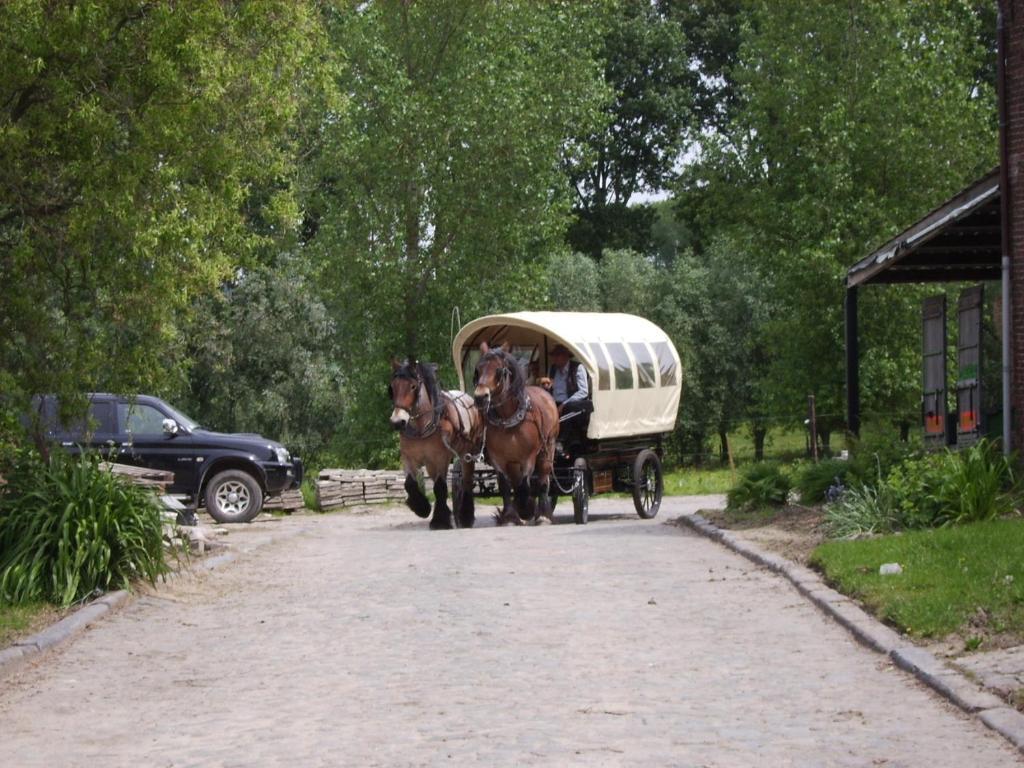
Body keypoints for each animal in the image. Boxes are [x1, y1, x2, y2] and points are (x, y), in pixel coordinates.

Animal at [387, 360, 479, 528]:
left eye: (413, 386)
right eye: (392, 387)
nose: (397, 422)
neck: (421, 428)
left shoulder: (440, 458)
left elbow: (440, 487)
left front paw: (440, 521)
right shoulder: (409, 458)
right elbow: (409, 483)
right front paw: (421, 508)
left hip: (467, 454)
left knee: (467, 481)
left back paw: (465, 516)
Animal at [473, 346, 561, 528]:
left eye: (498, 370)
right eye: (478, 370)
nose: (480, 397)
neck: (508, 419)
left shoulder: (528, 457)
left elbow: (525, 486)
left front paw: (526, 510)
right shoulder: (499, 459)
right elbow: (506, 486)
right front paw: (509, 516)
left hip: (548, 447)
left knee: (542, 479)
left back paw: (543, 515)